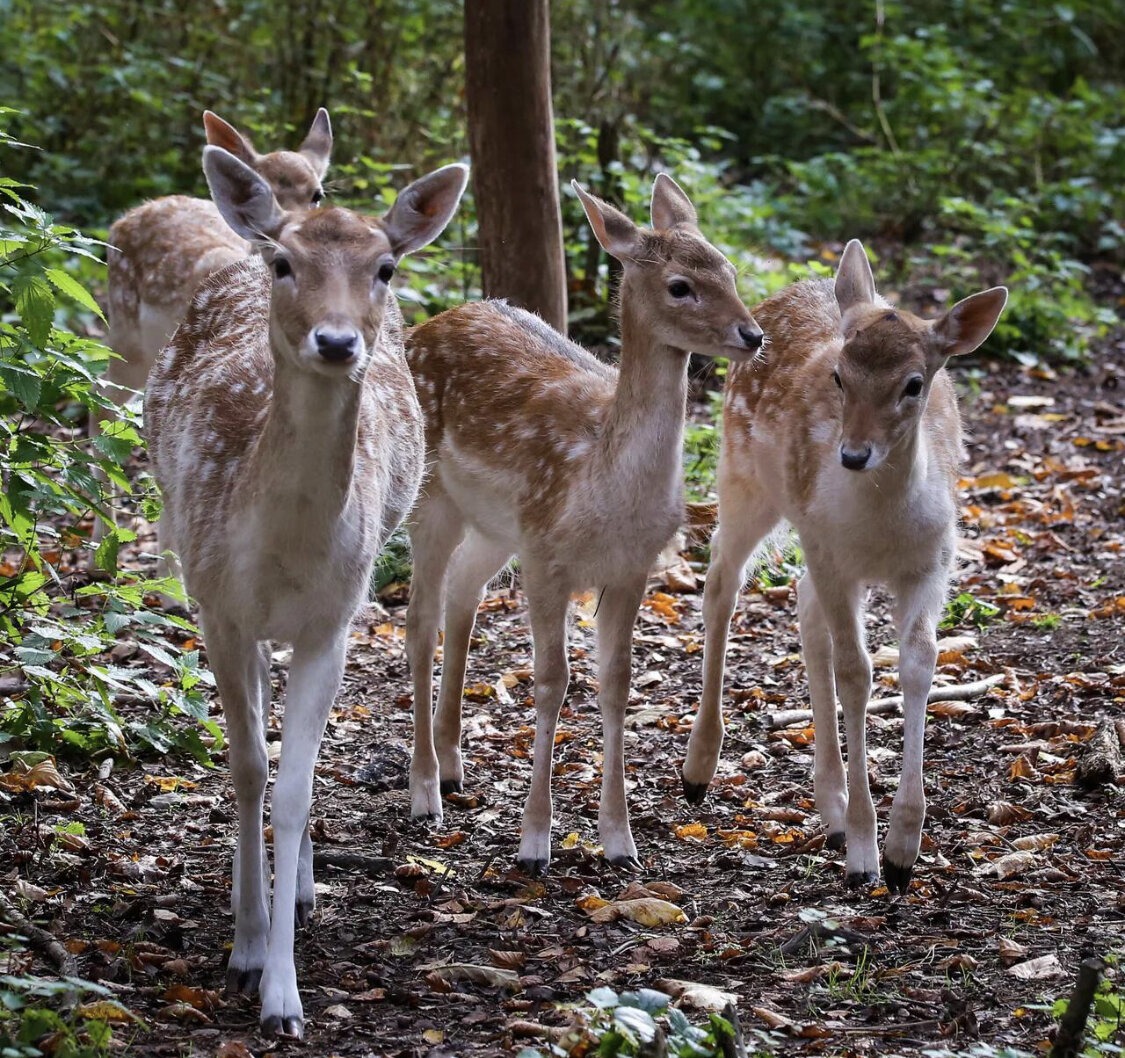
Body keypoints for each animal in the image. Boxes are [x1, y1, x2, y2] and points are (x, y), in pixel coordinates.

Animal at [142, 142, 468, 1030]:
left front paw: (285, 996)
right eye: (287, 264)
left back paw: (306, 887)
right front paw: (247, 949)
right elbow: (248, 768)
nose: (336, 340)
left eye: (384, 265)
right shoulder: (220, 608)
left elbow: (293, 784)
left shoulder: (334, 619)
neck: (285, 549)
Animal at [405, 175, 765, 877]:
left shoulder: (631, 566)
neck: (603, 484)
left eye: (731, 269)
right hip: (430, 497)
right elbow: (551, 684)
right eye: (681, 285)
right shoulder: (548, 556)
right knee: (418, 620)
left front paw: (619, 839)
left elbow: (616, 683)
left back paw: (456, 766)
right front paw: (534, 842)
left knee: (462, 595)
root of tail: (420, 328)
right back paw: (425, 792)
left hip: (496, 528)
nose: (753, 334)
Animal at [679, 239, 1008, 891]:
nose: (854, 455)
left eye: (914, 384)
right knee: (722, 583)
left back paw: (827, 808)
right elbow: (856, 672)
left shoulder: (932, 563)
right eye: (839, 375)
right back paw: (700, 769)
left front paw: (904, 852)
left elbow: (919, 663)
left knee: (804, 607)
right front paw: (864, 853)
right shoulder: (833, 554)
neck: (881, 529)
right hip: (743, 477)